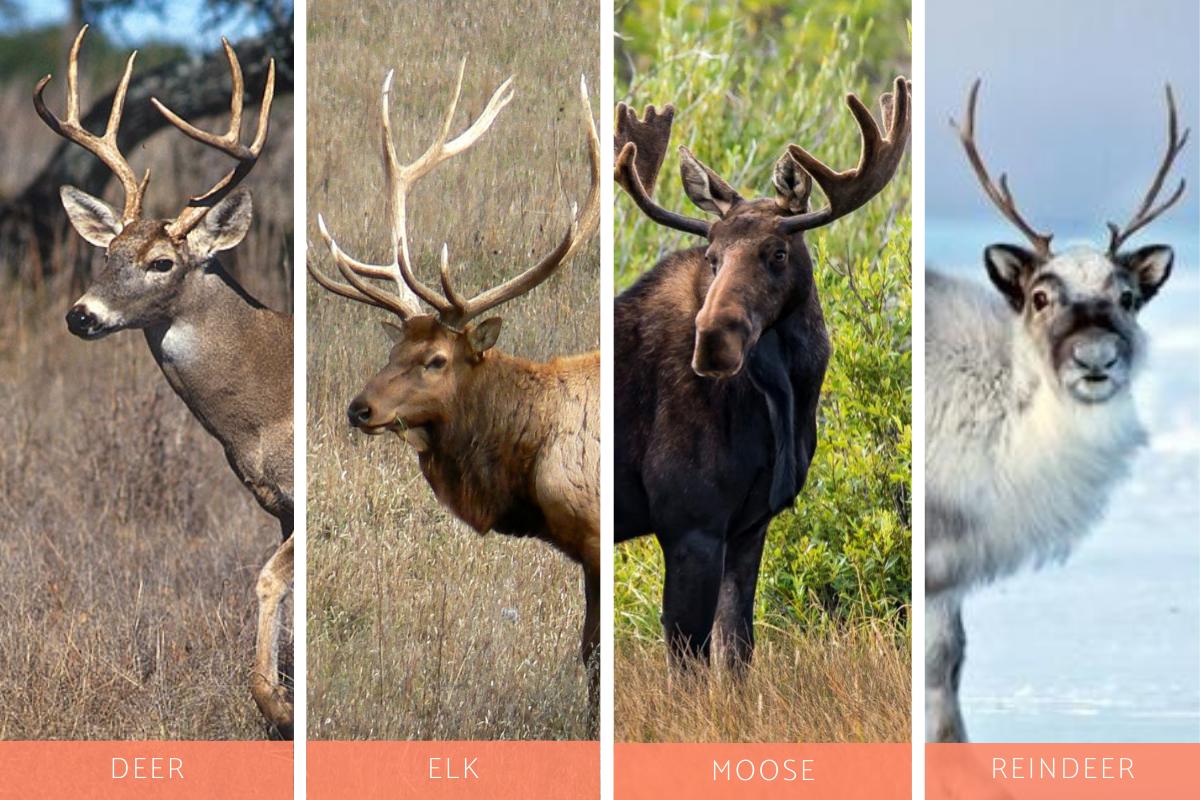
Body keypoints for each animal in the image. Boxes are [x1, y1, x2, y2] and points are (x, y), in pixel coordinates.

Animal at [36, 26, 294, 739]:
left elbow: (268, 580)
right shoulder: (279, 506)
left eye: (160, 262)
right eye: (106, 253)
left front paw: (278, 706)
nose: (80, 314)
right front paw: (280, 698)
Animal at [613, 78, 910, 670]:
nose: (713, 340)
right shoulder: (690, 525)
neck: (785, 400)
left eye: (776, 252)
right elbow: (690, 664)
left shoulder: (748, 527)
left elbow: (737, 654)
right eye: (712, 256)